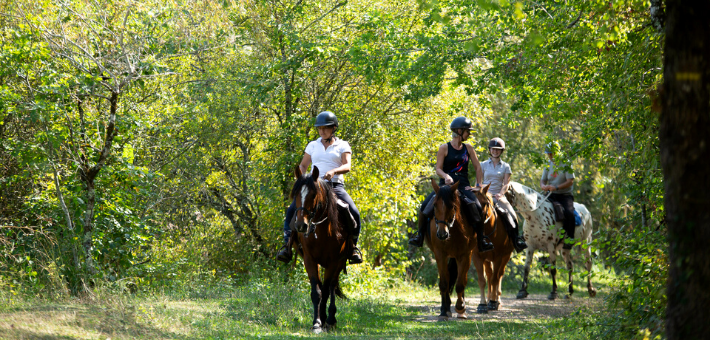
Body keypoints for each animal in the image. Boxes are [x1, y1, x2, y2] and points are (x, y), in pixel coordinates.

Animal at [290, 166, 354, 334]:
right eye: (296, 194)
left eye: (313, 195)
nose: (301, 225)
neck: (321, 229)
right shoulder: (309, 260)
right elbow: (316, 292)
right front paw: (317, 322)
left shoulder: (333, 261)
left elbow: (325, 291)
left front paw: (325, 321)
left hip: (339, 263)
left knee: (332, 285)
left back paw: (331, 318)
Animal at [422, 179, 478, 320]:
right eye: (434, 205)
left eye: (452, 206)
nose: (442, 234)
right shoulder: (440, 254)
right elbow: (444, 282)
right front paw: (444, 311)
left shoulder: (465, 255)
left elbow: (460, 283)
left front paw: (460, 307)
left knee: (461, 278)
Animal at [472, 186, 516, 314]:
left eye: (485, 203)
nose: (477, 222)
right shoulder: (477, 257)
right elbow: (482, 280)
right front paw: (482, 304)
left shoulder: (498, 257)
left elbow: (495, 279)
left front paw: (492, 303)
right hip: (487, 259)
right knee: (489, 275)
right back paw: (488, 299)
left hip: (506, 256)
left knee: (499, 275)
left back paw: (497, 301)